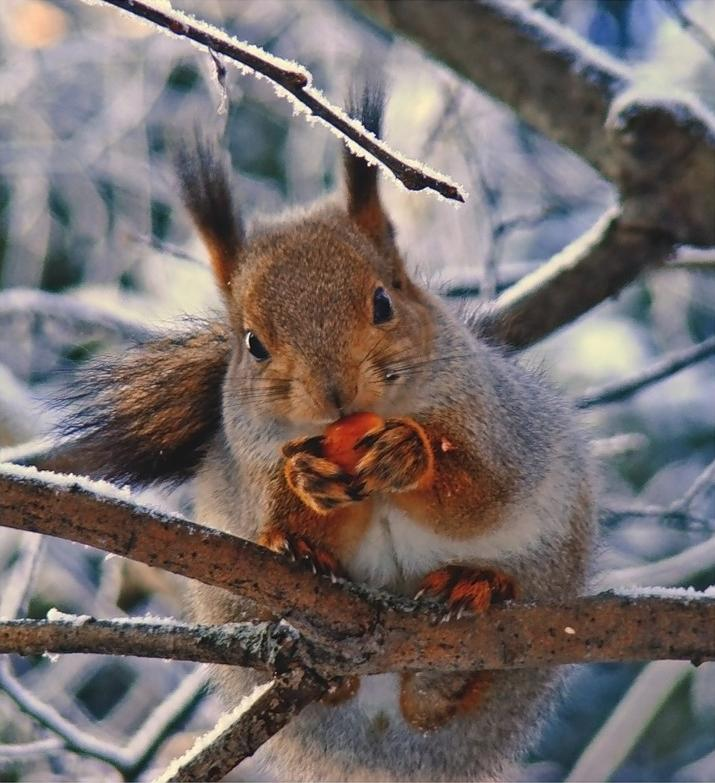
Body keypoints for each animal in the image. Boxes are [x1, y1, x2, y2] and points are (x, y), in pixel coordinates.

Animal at [53, 93, 596, 783]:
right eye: (253, 343)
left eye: (385, 302)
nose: (337, 396)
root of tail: (389, 744)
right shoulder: (249, 463)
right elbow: (280, 514)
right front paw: (304, 493)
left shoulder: (497, 425)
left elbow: (481, 494)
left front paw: (410, 454)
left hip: (552, 563)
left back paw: (468, 605)